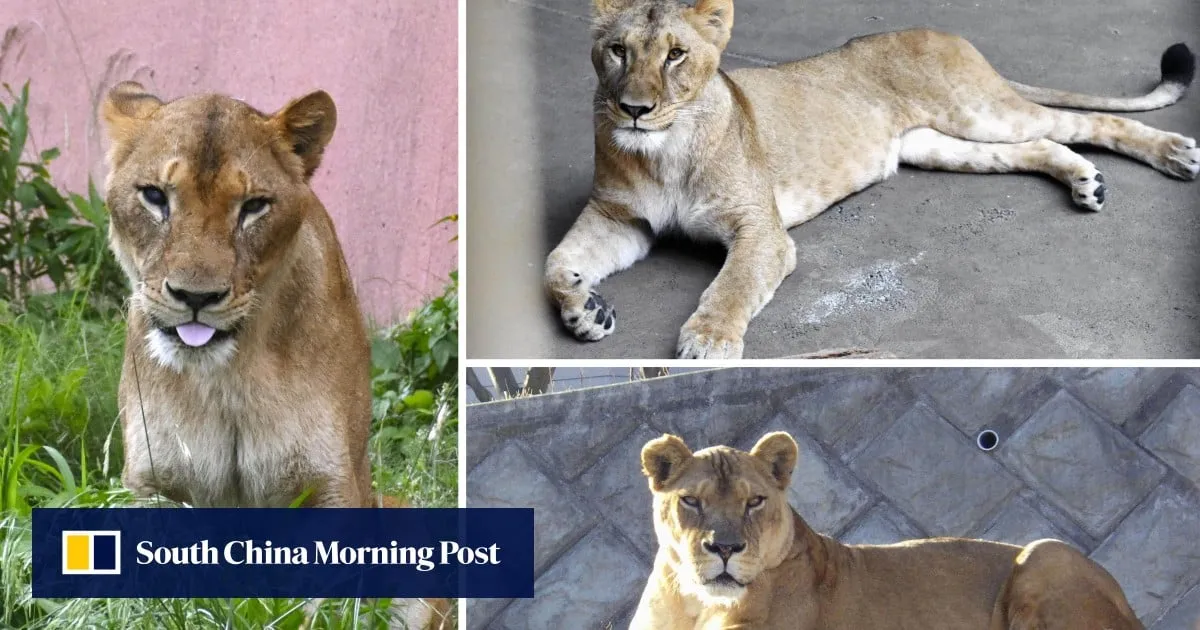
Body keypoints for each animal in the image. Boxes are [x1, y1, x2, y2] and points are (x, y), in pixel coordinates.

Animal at [102, 82, 450, 629]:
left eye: (254, 206)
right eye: (155, 196)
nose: (196, 297)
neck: (229, 375)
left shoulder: (331, 488)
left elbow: (317, 611)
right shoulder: (152, 484)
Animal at [545, 0, 1198, 359]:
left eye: (676, 54)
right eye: (618, 51)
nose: (633, 109)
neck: (664, 151)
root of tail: (946, 32)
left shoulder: (762, 231)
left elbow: (731, 286)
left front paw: (708, 342)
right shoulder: (620, 219)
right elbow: (555, 264)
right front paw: (586, 311)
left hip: (981, 110)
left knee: (1088, 121)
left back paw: (1174, 154)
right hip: (938, 144)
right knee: (1040, 145)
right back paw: (1087, 180)